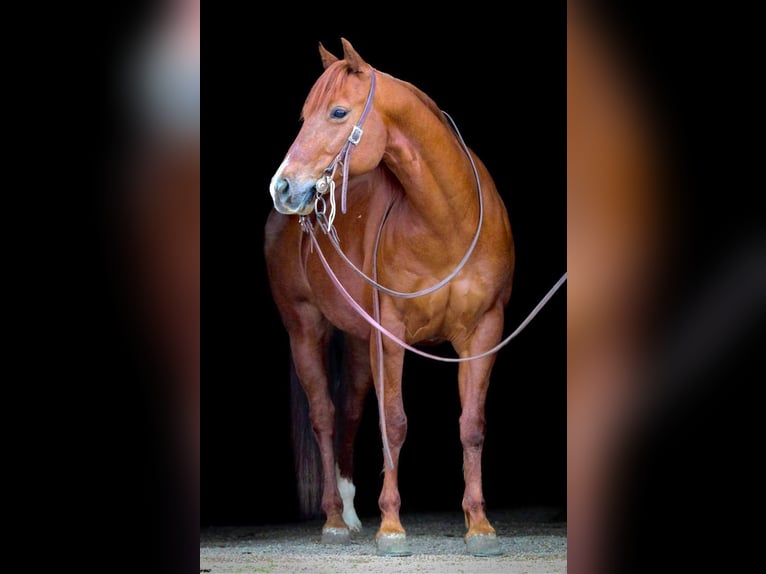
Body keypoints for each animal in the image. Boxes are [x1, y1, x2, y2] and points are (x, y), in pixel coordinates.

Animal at [266, 37, 516, 560]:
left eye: (338, 112)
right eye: (303, 116)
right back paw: (334, 520)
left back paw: (351, 512)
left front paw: (480, 526)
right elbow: (395, 423)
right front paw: (392, 526)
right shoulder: (392, 335)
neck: (447, 221)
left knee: (349, 411)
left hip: (359, 342)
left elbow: (472, 424)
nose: (282, 186)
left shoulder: (485, 330)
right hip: (306, 329)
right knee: (325, 415)